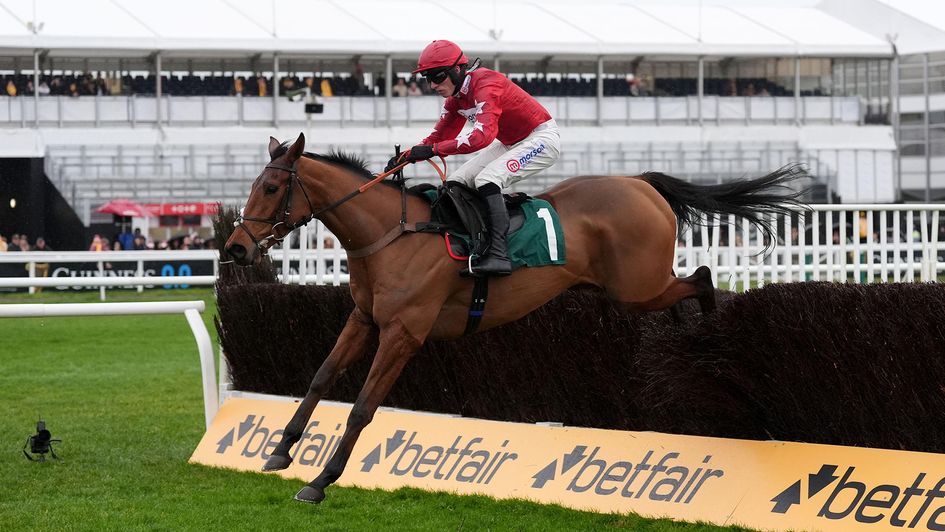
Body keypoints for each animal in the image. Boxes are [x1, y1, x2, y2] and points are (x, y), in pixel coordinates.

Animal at [223, 133, 804, 502]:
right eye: (251, 185)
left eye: (270, 188)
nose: (234, 249)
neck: (391, 235)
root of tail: (641, 182)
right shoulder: (364, 320)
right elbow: (320, 378)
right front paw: (279, 451)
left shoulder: (404, 332)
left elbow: (363, 407)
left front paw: (321, 481)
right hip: (632, 290)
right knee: (688, 290)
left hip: (637, 286)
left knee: (703, 279)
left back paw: (708, 340)